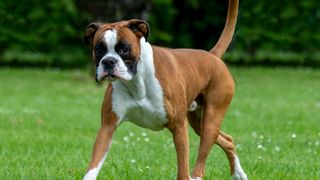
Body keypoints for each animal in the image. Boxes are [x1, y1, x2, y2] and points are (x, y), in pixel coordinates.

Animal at [83, 0, 248, 179]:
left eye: (124, 49)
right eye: (99, 50)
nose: (108, 61)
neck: (137, 81)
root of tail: (212, 56)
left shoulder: (179, 128)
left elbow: (183, 169)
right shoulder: (107, 128)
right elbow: (93, 167)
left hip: (210, 121)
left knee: (201, 162)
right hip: (199, 124)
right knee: (227, 139)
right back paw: (238, 173)